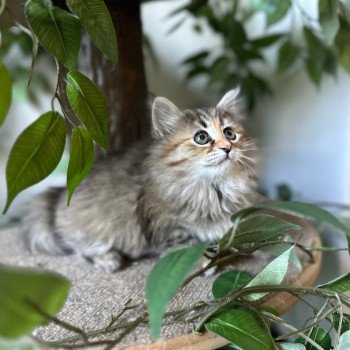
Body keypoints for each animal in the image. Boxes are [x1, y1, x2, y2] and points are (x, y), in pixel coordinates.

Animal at [23, 89, 258, 272]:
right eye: (201, 137)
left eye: (230, 134)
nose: (227, 148)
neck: (213, 189)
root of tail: (59, 195)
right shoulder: (165, 226)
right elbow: (189, 244)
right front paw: (203, 263)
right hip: (96, 229)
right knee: (78, 248)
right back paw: (109, 260)